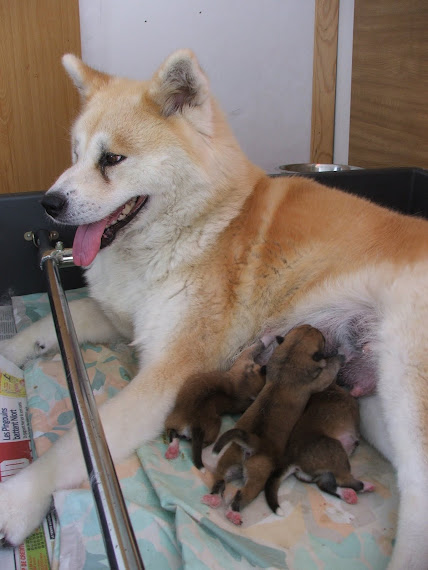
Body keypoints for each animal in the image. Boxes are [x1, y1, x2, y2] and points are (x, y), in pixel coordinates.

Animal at [166, 338, 266, 466]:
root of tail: (195, 422)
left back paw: (172, 450)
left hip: (174, 421)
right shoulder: (244, 361)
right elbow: (251, 349)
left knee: (174, 435)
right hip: (212, 425)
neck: (245, 383)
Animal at [202, 324, 342, 524]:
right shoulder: (316, 383)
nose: (313, 326)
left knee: (220, 480)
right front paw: (336, 358)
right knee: (242, 494)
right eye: (321, 337)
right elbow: (328, 371)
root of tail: (251, 444)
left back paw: (212, 498)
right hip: (258, 475)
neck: (291, 356)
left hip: (228, 461)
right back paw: (233, 513)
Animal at [264, 380, 374, 508]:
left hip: (323, 473)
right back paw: (366, 486)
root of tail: (293, 460)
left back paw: (347, 495)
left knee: (326, 485)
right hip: (337, 453)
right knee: (345, 480)